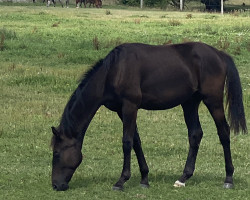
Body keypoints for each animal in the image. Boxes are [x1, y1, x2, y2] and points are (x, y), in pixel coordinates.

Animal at [50, 41, 246, 191]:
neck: (114, 71)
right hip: (190, 103)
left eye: (57, 153)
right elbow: (136, 141)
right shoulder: (122, 110)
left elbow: (127, 142)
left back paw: (228, 179)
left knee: (224, 132)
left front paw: (121, 181)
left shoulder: (130, 106)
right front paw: (144, 179)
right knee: (195, 134)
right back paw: (183, 178)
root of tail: (219, 54)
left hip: (213, 101)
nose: (56, 185)